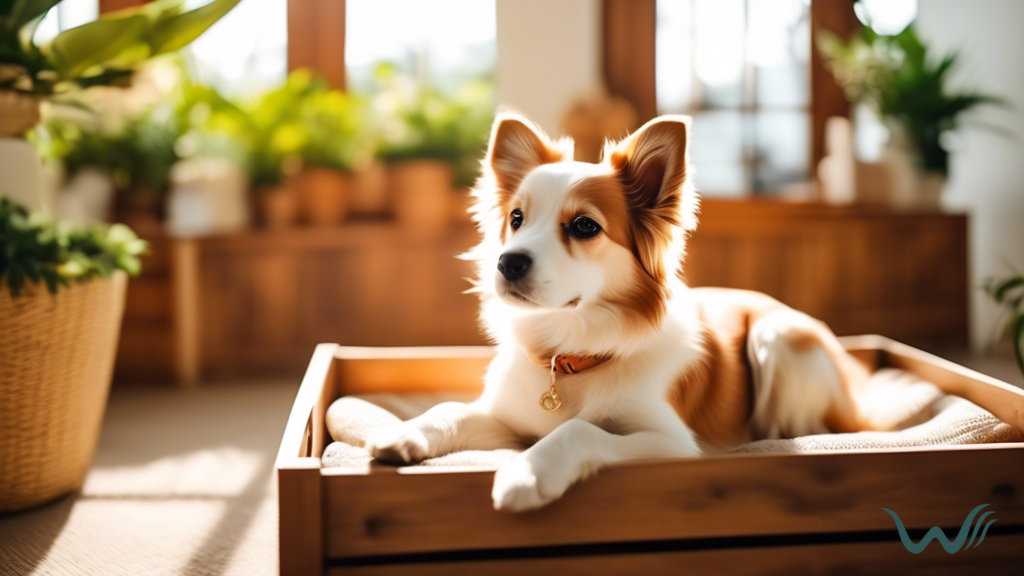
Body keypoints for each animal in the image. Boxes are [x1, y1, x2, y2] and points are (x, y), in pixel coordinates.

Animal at [364, 113, 876, 510]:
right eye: (516, 219)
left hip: (780, 337)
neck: (571, 353)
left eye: (584, 226)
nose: (507, 262)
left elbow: (576, 431)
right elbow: (450, 408)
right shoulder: (507, 419)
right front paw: (403, 434)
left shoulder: (673, 444)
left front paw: (527, 475)